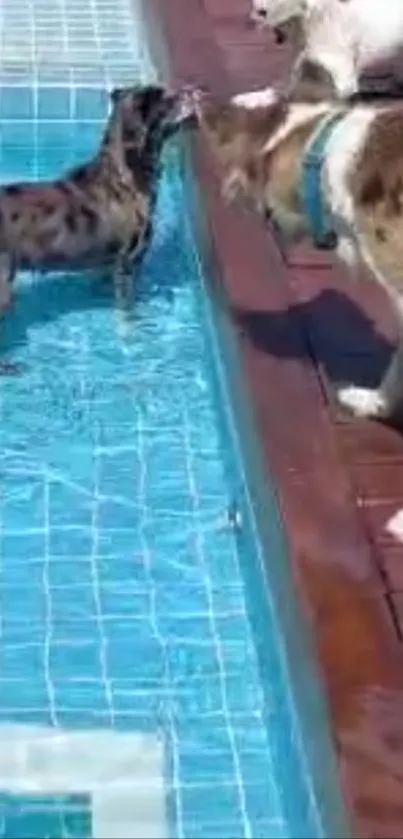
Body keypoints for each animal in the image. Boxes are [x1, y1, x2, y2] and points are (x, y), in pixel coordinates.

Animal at [0, 86, 194, 318]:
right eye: (168, 98)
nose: (193, 91)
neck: (126, 172)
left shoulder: (105, 265)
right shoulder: (127, 263)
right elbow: (127, 307)